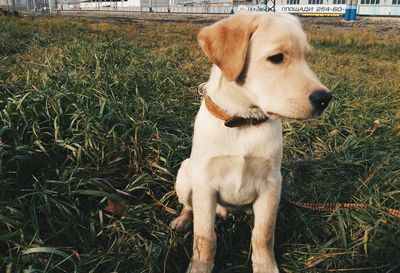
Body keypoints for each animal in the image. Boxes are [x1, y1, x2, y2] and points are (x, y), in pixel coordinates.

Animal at [170, 12, 332, 272]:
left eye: (307, 58)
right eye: (276, 58)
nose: (325, 98)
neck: (243, 121)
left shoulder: (271, 184)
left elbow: (263, 234)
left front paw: (265, 266)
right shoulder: (205, 184)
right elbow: (205, 236)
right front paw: (200, 265)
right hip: (185, 174)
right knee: (189, 207)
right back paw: (182, 221)